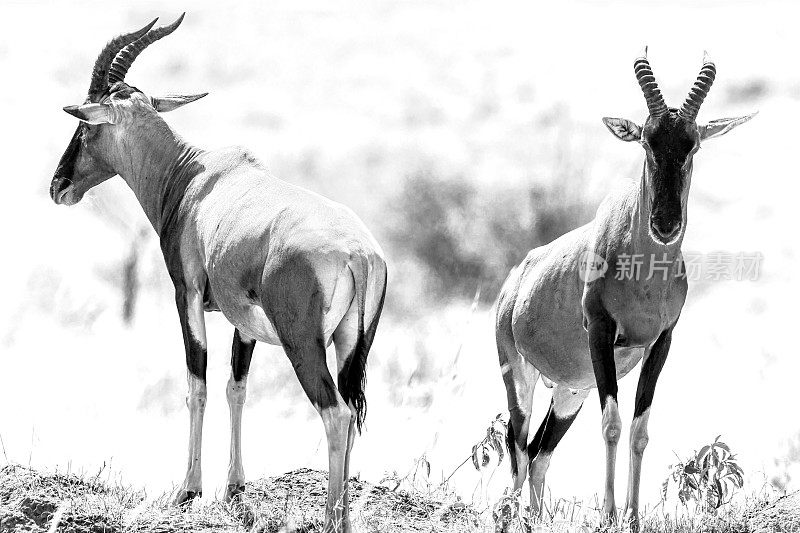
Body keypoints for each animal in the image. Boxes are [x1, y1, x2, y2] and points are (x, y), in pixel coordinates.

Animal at [50, 14, 388, 528]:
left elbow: (198, 386)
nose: (58, 185)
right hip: (353, 344)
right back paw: (346, 516)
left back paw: (332, 519)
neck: (197, 176)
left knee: (336, 415)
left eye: (86, 128)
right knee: (350, 411)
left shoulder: (186, 295)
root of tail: (359, 254)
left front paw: (188, 490)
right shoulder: (242, 321)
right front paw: (234, 487)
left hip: (302, 344)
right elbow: (236, 388)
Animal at [496, 50, 752, 528]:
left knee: (539, 453)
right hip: (518, 374)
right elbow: (612, 424)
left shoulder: (660, 342)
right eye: (647, 142)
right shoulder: (600, 334)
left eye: (692, 144)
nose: (665, 224)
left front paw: (632, 517)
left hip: (571, 390)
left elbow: (639, 429)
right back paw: (507, 517)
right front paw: (610, 516)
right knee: (518, 449)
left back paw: (536, 519)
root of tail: (513, 283)